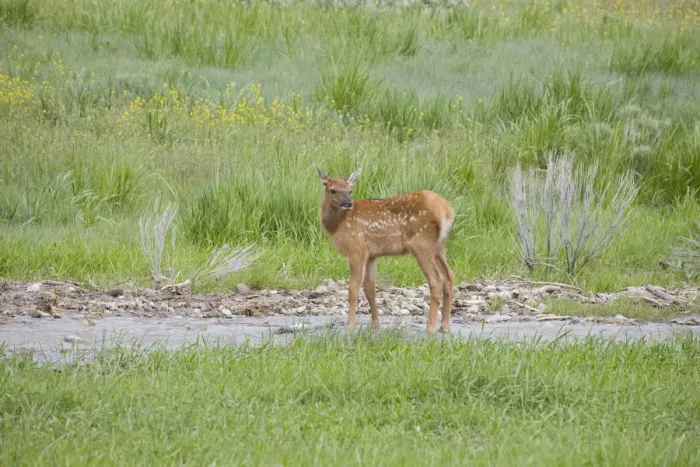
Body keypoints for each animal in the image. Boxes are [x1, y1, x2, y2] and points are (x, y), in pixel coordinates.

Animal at [316, 168, 455, 334]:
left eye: (350, 190)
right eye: (333, 190)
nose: (349, 203)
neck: (338, 225)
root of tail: (447, 211)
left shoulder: (357, 249)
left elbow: (353, 289)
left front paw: (350, 325)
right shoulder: (372, 255)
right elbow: (370, 288)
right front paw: (376, 324)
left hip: (421, 244)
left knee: (436, 279)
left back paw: (430, 327)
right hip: (439, 246)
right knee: (449, 276)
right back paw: (444, 326)